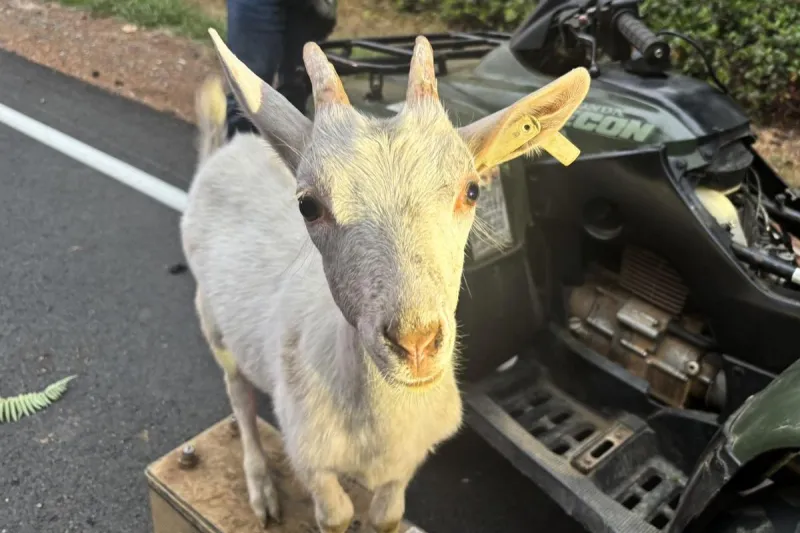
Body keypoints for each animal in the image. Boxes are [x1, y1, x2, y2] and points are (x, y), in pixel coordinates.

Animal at [180, 28, 590, 533]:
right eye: (307, 205)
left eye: (472, 190)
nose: (415, 342)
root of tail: (222, 152)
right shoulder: (311, 456)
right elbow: (335, 515)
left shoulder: (407, 462)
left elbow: (387, 514)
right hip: (213, 321)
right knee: (238, 393)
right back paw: (261, 488)